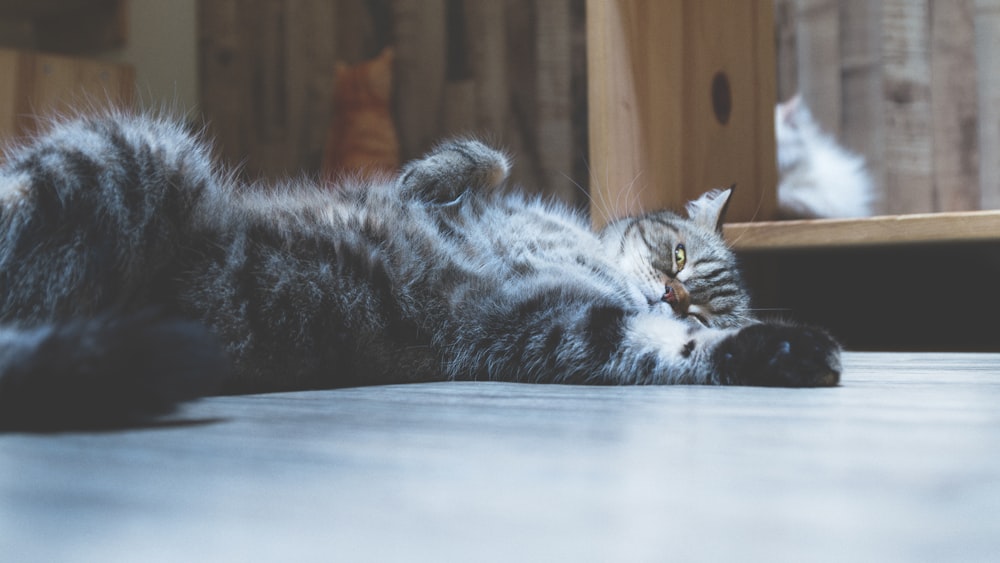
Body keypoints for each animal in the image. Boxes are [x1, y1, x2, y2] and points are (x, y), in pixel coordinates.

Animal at [0, 113, 844, 432]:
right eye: (677, 258)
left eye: (704, 309)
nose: (671, 294)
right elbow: (487, 160)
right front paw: (429, 175)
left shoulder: (550, 326)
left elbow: (673, 351)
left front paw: (790, 350)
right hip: (140, 152)